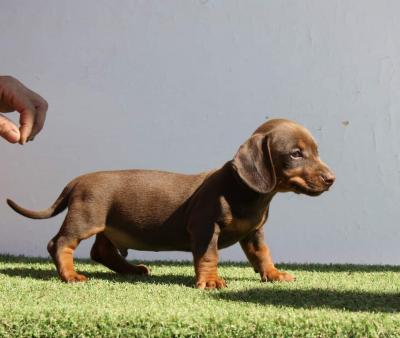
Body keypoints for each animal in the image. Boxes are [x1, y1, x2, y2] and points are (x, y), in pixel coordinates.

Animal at [7, 118, 336, 288]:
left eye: (316, 151)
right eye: (295, 154)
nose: (332, 179)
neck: (246, 191)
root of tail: (75, 181)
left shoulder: (254, 232)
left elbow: (262, 254)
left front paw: (274, 274)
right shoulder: (205, 228)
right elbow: (208, 256)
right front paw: (210, 281)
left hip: (108, 225)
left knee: (101, 251)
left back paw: (130, 270)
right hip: (86, 218)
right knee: (60, 243)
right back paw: (71, 275)